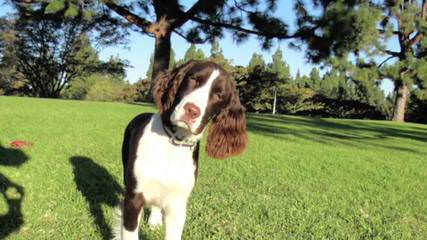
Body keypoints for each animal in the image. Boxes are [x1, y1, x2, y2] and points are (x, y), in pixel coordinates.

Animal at [117, 60, 249, 240]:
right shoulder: (134, 196)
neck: (173, 143)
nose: (192, 110)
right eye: (193, 79)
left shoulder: (178, 204)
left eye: (219, 95)